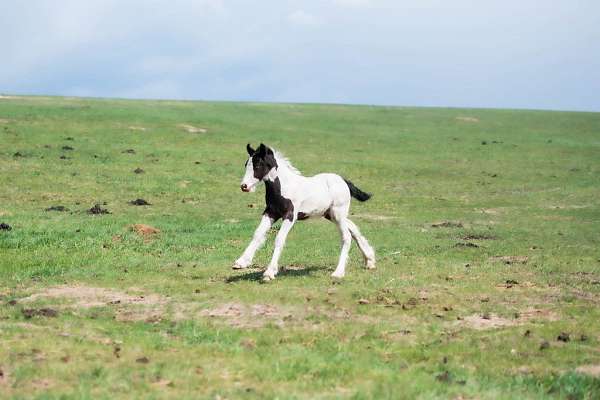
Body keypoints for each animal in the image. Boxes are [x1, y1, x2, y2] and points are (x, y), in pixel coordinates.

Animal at [231, 144, 376, 282]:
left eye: (258, 165)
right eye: (246, 164)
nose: (244, 186)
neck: (285, 187)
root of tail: (343, 181)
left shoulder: (290, 216)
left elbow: (279, 239)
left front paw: (269, 272)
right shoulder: (271, 212)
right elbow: (258, 234)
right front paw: (241, 262)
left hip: (338, 213)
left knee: (346, 236)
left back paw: (338, 273)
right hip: (331, 215)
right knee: (353, 228)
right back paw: (370, 260)